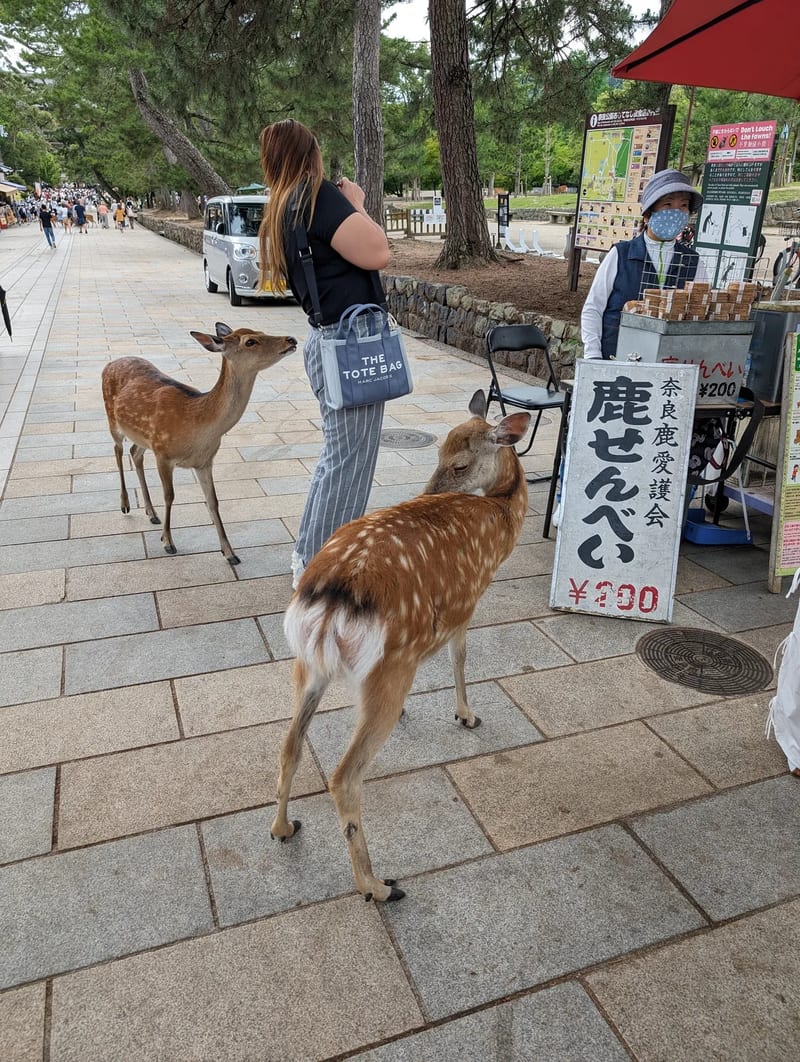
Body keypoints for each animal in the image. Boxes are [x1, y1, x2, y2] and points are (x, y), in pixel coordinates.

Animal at [101, 322, 296, 564]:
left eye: (260, 331)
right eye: (250, 341)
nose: (291, 340)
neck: (197, 424)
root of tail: (110, 363)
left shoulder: (204, 461)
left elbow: (213, 501)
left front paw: (229, 553)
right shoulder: (163, 453)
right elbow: (169, 495)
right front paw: (168, 542)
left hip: (143, 437)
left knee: (134, 452)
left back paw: (151, 513)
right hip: (113, 420)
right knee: (118, 450)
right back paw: (126, 504)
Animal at [270, 391, 531, 902]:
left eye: (458, 462)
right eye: (440, 455)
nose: (427, 492)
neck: (503, 517)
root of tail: (331, 598)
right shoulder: (466, 603)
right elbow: (460, 658)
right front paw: (467, 715)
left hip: (308, 665)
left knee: (290, 745)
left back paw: (283, 827)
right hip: (390, 663)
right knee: (344, 775)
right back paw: (377, 885)